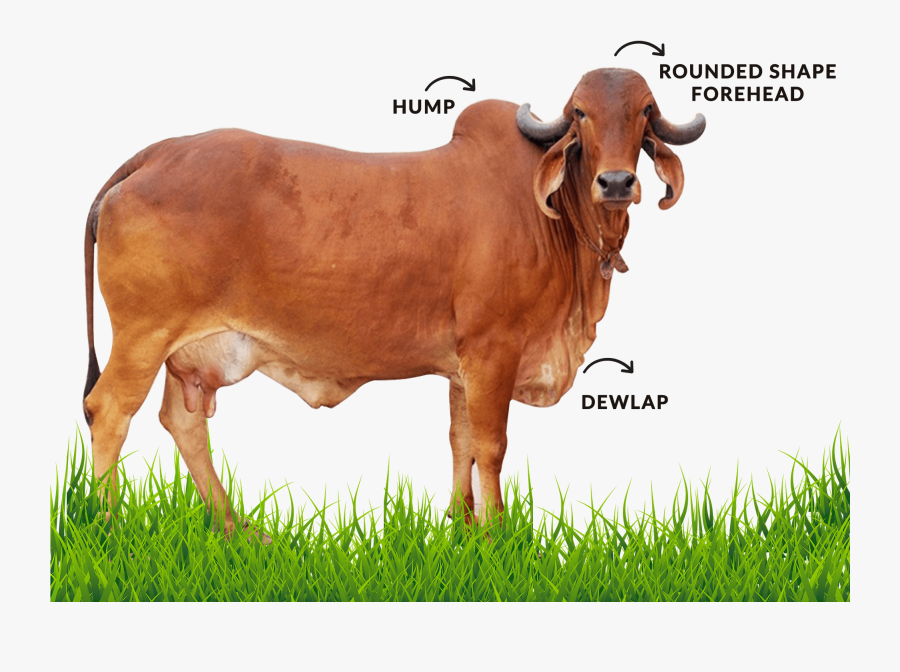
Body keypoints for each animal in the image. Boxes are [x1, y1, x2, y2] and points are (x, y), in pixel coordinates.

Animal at [82, 68, 704, 540]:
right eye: (579, 114)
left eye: (646, 111)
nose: (617, 182)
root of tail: (159, 153)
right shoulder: (494, 350)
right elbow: (492, 445)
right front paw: (499, 536)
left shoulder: (463, 367)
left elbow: (460, 442)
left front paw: (462, 527)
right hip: (142, 337)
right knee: (109, 411)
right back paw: (111, 527)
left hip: (185, 353)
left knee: (182, 421)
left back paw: (237, 529)